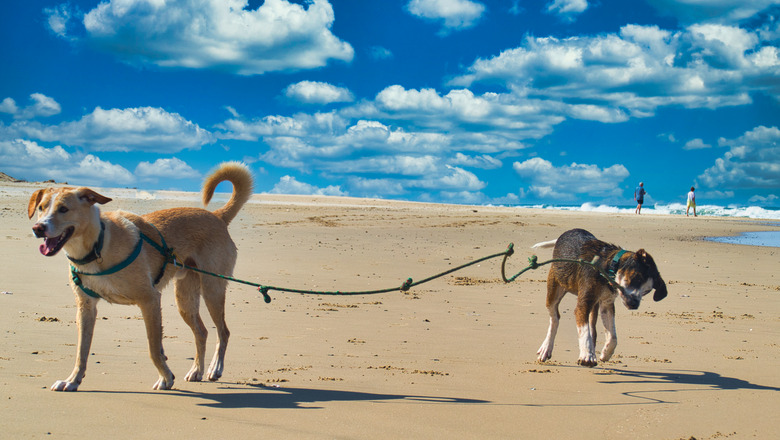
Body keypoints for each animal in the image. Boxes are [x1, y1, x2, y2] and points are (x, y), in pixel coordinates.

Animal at [26, 163, 253, 390]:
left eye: (64, 209)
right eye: (41, 208)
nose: (38, 228)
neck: (97, 246)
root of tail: (217, 216)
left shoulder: (149, 300)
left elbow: (153, 348)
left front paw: (165, 378)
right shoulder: (86, 307)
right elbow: (81, 351)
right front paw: (72, 380)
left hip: (212, 289)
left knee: (223, 332)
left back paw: (215, 368)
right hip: (185, 298)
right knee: (202, 332)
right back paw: (196, 370)